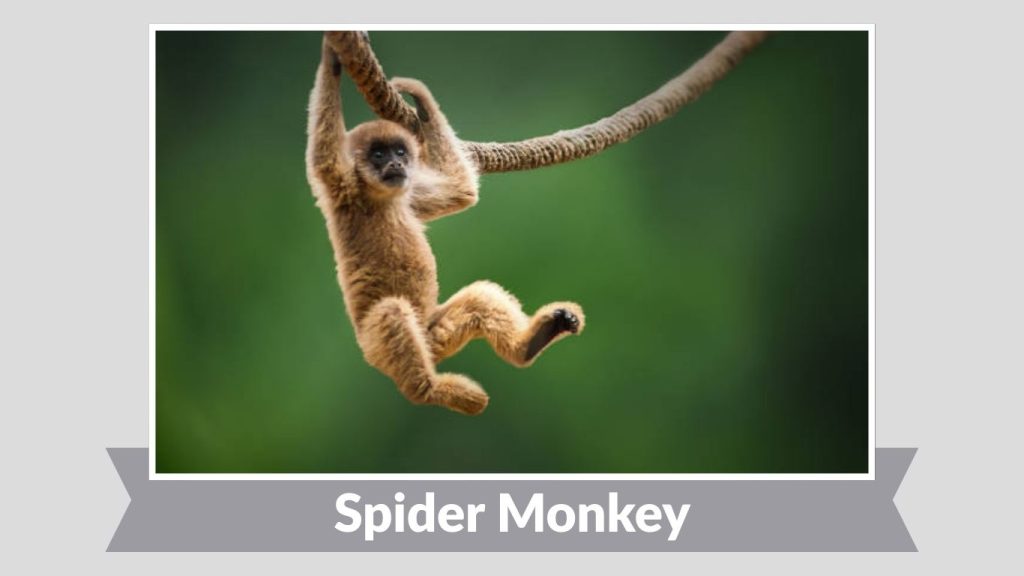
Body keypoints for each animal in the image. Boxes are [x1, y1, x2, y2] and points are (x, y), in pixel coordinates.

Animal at [305, 36, 585, 416]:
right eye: (379, 155)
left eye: (399, 152)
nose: (396, 163)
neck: (379, 198)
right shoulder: (341, 187)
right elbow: (323, 155)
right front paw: (332, 57)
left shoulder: (408, 194)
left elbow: (461, 192)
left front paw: (418, 100)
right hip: (378, 346)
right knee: (392, 312)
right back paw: (429, 391)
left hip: (436, 333)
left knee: (478, 299)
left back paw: (529, 345)